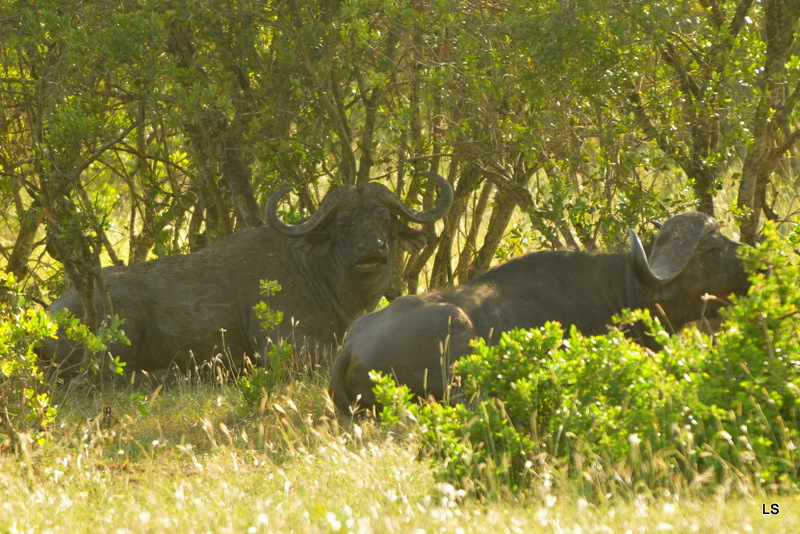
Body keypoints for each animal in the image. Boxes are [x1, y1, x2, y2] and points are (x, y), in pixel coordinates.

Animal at [43, 172, 454, 376]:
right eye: (343, 224)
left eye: (384, 218)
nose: (372, 249)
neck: (320, 277)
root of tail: (50, 313)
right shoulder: (282, 345)